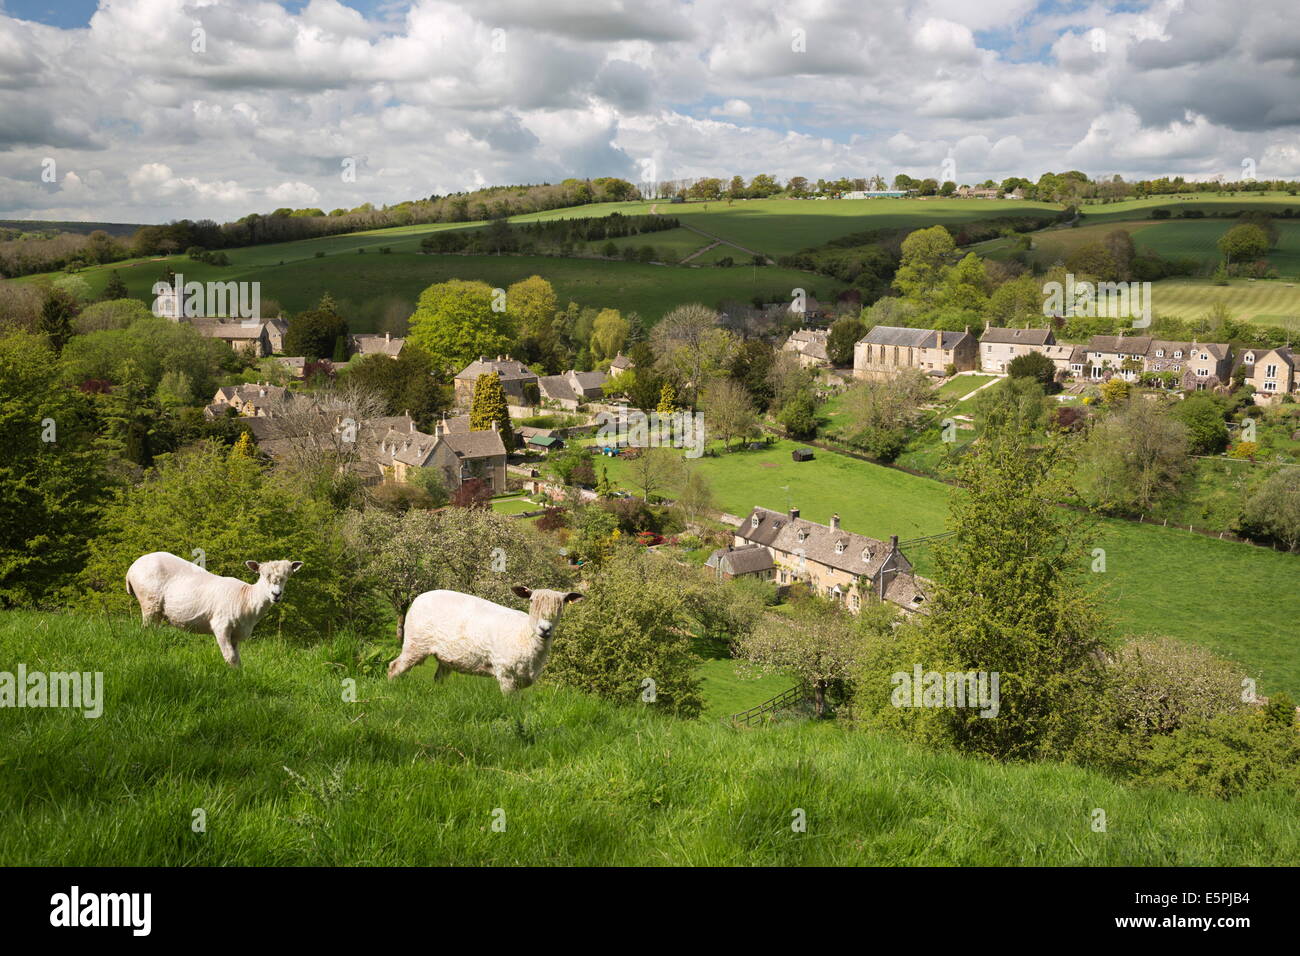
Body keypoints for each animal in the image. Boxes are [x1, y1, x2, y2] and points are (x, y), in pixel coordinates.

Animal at [126, 548, 304, 671]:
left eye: (287, 577)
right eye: (263, 575)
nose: (276, 594)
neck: (246, 599)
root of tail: (132, 568)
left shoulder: (236, 634)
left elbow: (237, 659)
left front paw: (239, 674)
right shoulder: (221, 626)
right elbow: (230, 657)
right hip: (149, 601)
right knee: (146, 630)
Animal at [387, 587, 582, 691]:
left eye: (563, 604)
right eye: (531, 600)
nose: (545, 629)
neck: (524, 635)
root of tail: (419, 597)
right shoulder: (505, 674)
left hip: (445, 656)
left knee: (438, 679)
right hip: (416, 643)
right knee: (395, 667)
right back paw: (392, 687)